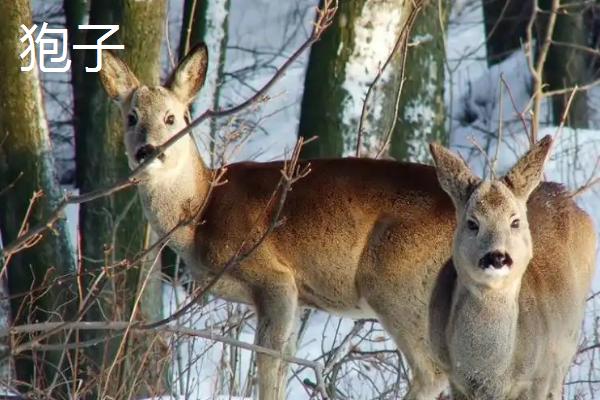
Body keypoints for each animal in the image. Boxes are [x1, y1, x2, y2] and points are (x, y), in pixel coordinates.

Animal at [428, 136, 596, 398]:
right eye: (472, 223)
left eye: (515, 221)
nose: (497, 257)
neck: (489, 375)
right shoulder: (453, 378)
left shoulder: (537, 378)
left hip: (565, 350)